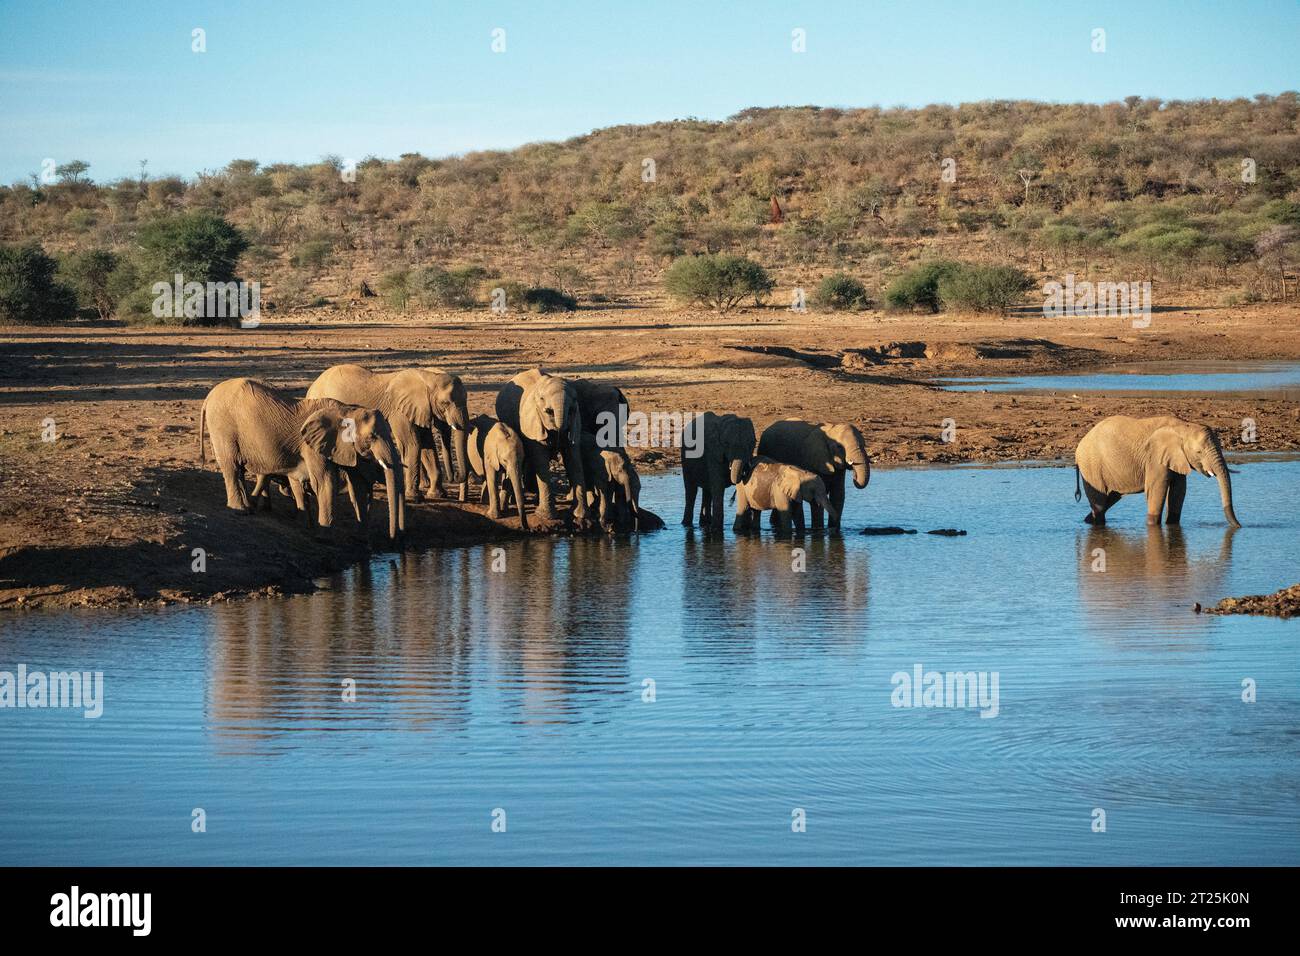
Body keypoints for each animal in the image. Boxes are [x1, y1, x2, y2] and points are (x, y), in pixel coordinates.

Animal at [195, 374, 400, 538]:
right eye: (372, 437)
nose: (394, 537)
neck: (346, 410)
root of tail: (209, 397)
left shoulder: (339, 447)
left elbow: (353, 484)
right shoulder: (311, 447)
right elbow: (325, 483)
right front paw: (324, 535)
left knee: (238, 470)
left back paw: (248, 508)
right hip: (222, 426)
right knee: (231, 466)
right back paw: (241, 511)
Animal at [304, 361, 467, 504]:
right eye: (445, 403)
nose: (454, 477)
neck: (428, 377)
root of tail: (311, 387)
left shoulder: (420, 408)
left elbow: (428, 446)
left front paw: (437, 494)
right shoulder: (399, 411)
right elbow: (412, 444)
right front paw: (414, 498)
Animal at [493, 369, 587, 528]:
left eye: (574, 401)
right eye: (543, 400)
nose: (549, 410)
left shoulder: (576, 421)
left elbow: (574, 459)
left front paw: (580, 515)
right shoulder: (532, 422)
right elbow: (541, 460)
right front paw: (546, 516)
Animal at [1071, 413, 1242, 528]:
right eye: (1199, 452)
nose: (1240, 526)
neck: (1183, 426)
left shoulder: (1176, 458)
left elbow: (1178, 491)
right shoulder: (1154, 457)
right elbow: (1156, 489)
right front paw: (1153, 526)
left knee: (1111, 498)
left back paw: (1087, 521)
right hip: (1091, 466)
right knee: (1100, 504)